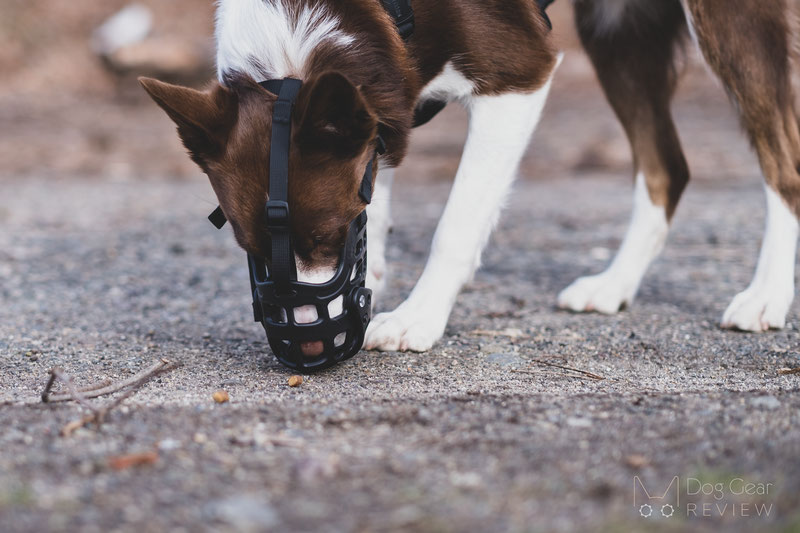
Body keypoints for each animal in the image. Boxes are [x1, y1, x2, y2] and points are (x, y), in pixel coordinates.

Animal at [141, 1, 796, 354]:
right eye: (247, 247)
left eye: (328, 235)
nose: (306, 345)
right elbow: (377, 180)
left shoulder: (519, 77)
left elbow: (454, 226)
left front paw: (418, 316)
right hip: (618, 31)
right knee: (666, 166)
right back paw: (615, 283)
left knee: (782, 163)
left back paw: (766, 295)